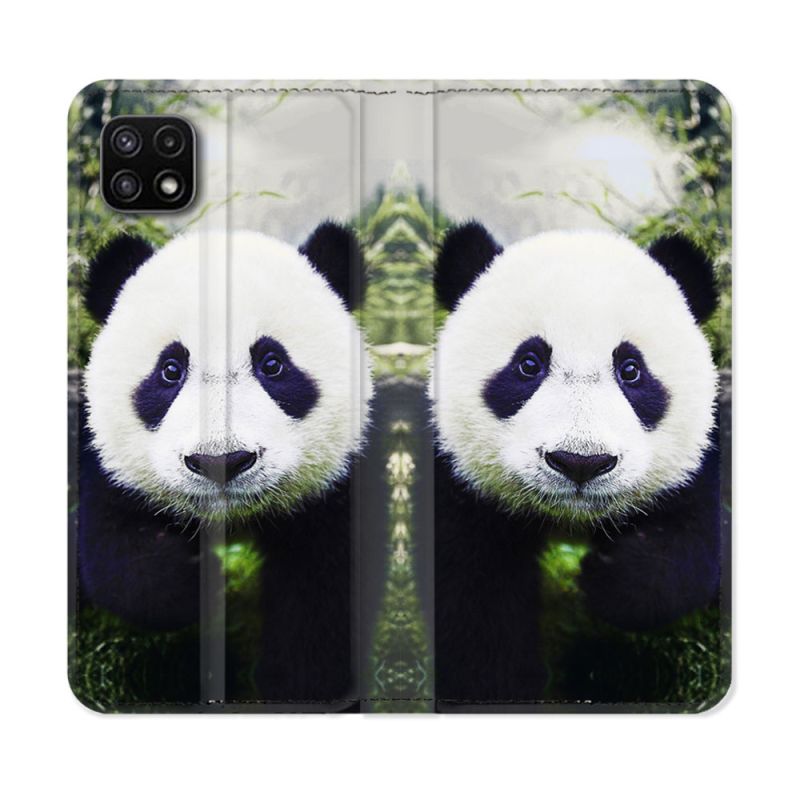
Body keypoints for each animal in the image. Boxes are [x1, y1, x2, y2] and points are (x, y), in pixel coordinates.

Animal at [77, 222, 371, 705]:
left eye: (272, 364)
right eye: (170, 369)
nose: (221, 462)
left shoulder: (336, 493)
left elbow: (322, 603)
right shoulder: (110, 469)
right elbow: (115, 553)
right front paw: (195, 582)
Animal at [431, 223, 721, 706]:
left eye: (631, 369)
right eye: (528, 364)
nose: (580, 463)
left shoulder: (695, 465)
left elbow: (695, 541)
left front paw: (610, 579)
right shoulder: (462, 491)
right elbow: (475, 610)